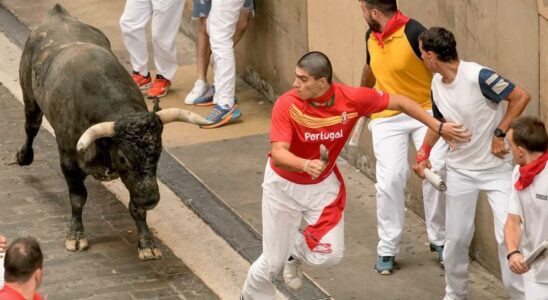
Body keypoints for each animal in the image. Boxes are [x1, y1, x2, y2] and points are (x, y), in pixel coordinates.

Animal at [16, 5, 210, 260]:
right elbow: (77, 198)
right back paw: (24, 156)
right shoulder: (68, 159)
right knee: (31, 127)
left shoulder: (138, 180)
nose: (151, 200)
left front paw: (146, 242)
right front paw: (75, 235)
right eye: (123, 158)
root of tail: (57, 13)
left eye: (158, 153)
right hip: (30, 98)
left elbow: (136, 208)